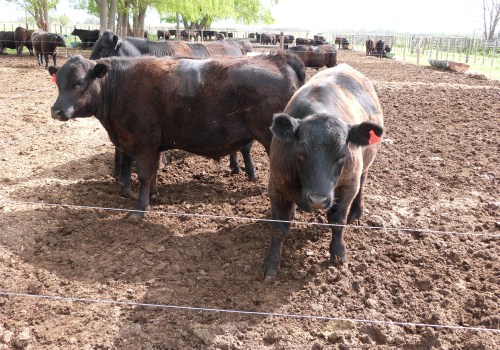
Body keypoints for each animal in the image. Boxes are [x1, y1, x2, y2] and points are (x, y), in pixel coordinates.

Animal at [50, 53, 306, 217]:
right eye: (58, 83)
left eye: (79, 82)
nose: (56, 110)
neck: (119, 85)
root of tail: (279, 58)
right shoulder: (149, 145)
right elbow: (152, 174)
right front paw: (153, 195)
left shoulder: (144, 143)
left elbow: (144, 175)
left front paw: (139, 210)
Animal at [264, 63, 384, 278]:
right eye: (300, 153)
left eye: (342, 155)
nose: (318, 200)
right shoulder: (276, 184)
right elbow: (279, 228)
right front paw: (271, 264)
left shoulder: (348, 186)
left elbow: (337, 221)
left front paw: (338, 254)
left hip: (363, 170)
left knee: (362, 184)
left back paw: (357, 212)